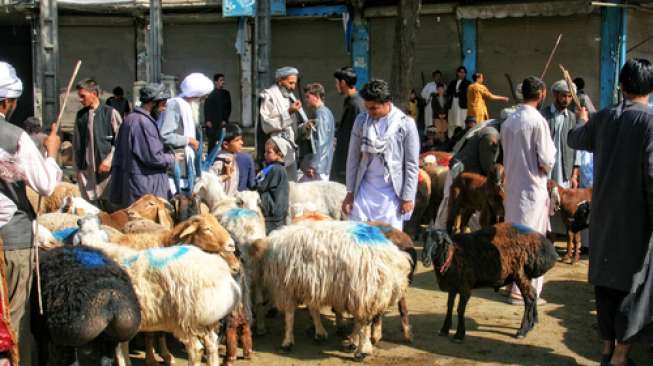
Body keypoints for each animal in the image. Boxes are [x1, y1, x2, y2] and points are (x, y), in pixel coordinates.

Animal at [74, 216, 242, 366]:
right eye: (207, 229)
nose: (232, 246)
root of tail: (223, 275)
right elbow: (123, 349)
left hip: (187, 319)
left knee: (196, 349)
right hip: (205, 320)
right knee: (212, 344)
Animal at [247, 219, 410, 362]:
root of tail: (394, 258)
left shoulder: (286, 287)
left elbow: (289, 316)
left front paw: (287, 342)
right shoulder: (310, 285)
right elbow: (313, 309)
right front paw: (320, 333)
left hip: (364, 290)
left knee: (363, 323)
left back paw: (361, 351)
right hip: (361, 294)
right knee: (360, 321)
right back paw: (352, 343)